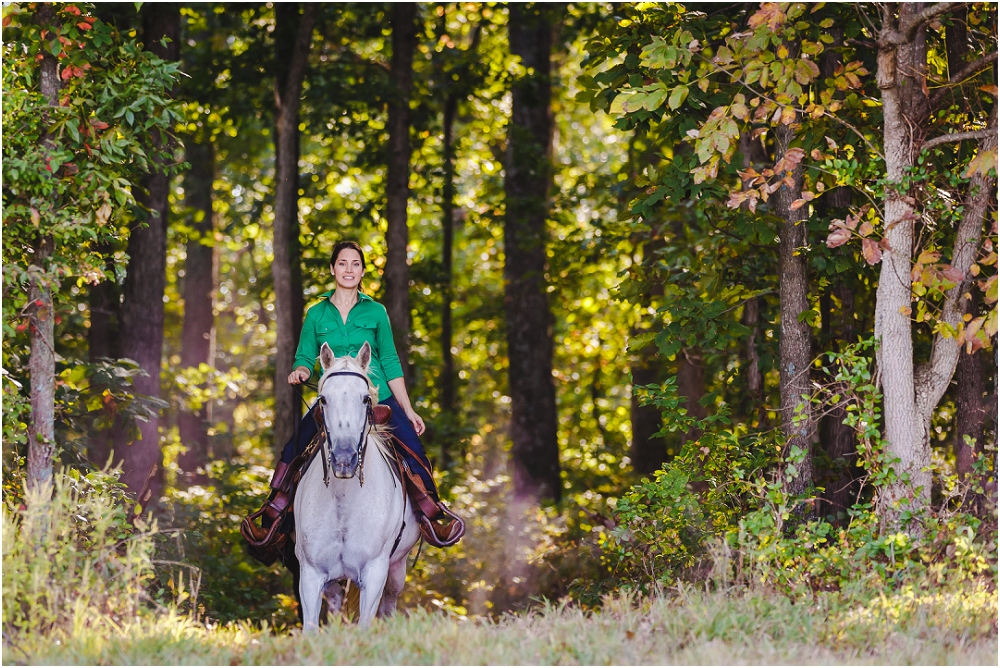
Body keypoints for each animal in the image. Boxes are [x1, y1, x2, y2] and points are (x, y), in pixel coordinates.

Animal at [296, 342, 422, 628]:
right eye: (323, 399)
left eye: (365, 398)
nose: (344, 460)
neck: (344, 500)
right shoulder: (311, 576)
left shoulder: (375, 573)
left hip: (397, 570)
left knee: (389, 607)